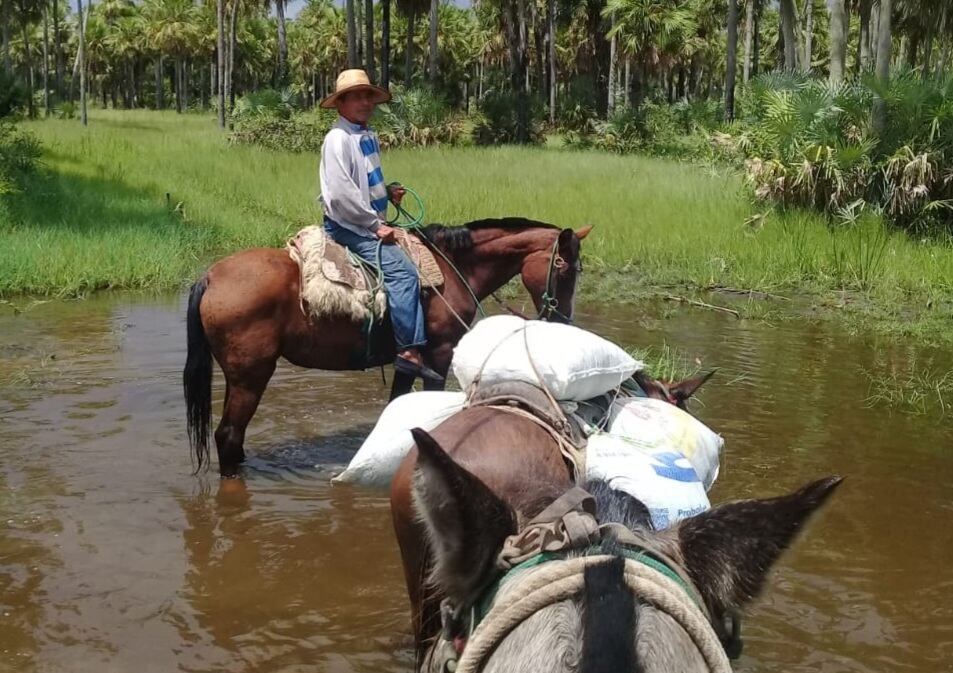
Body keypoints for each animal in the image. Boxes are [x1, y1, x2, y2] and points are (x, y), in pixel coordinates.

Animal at [182, 217, 591, 477]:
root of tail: (211, 276)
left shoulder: (409, 360)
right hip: (251, 376)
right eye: (564, 266)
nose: (561, 319)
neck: (454, 267)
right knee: (228, 435)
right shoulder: (438, 354)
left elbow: (397, 404)